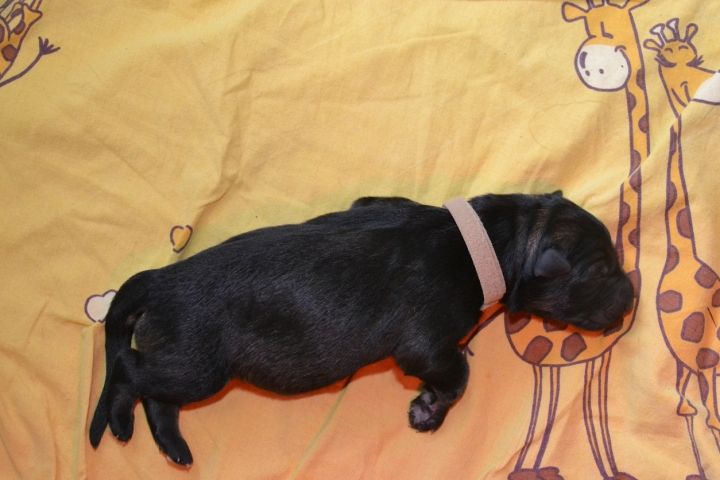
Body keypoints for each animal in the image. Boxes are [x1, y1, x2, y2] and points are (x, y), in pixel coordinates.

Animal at [89, 192, 634, 466]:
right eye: (602, 270)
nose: (632, 296)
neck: (486, 237)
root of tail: (159, 279)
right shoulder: (423, 344)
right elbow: (456, 374)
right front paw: (428, 409)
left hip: (185, 363)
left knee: (158, 397)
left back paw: (174, 448)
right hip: (198, 365)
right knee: (130, 369)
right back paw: (118, 421)